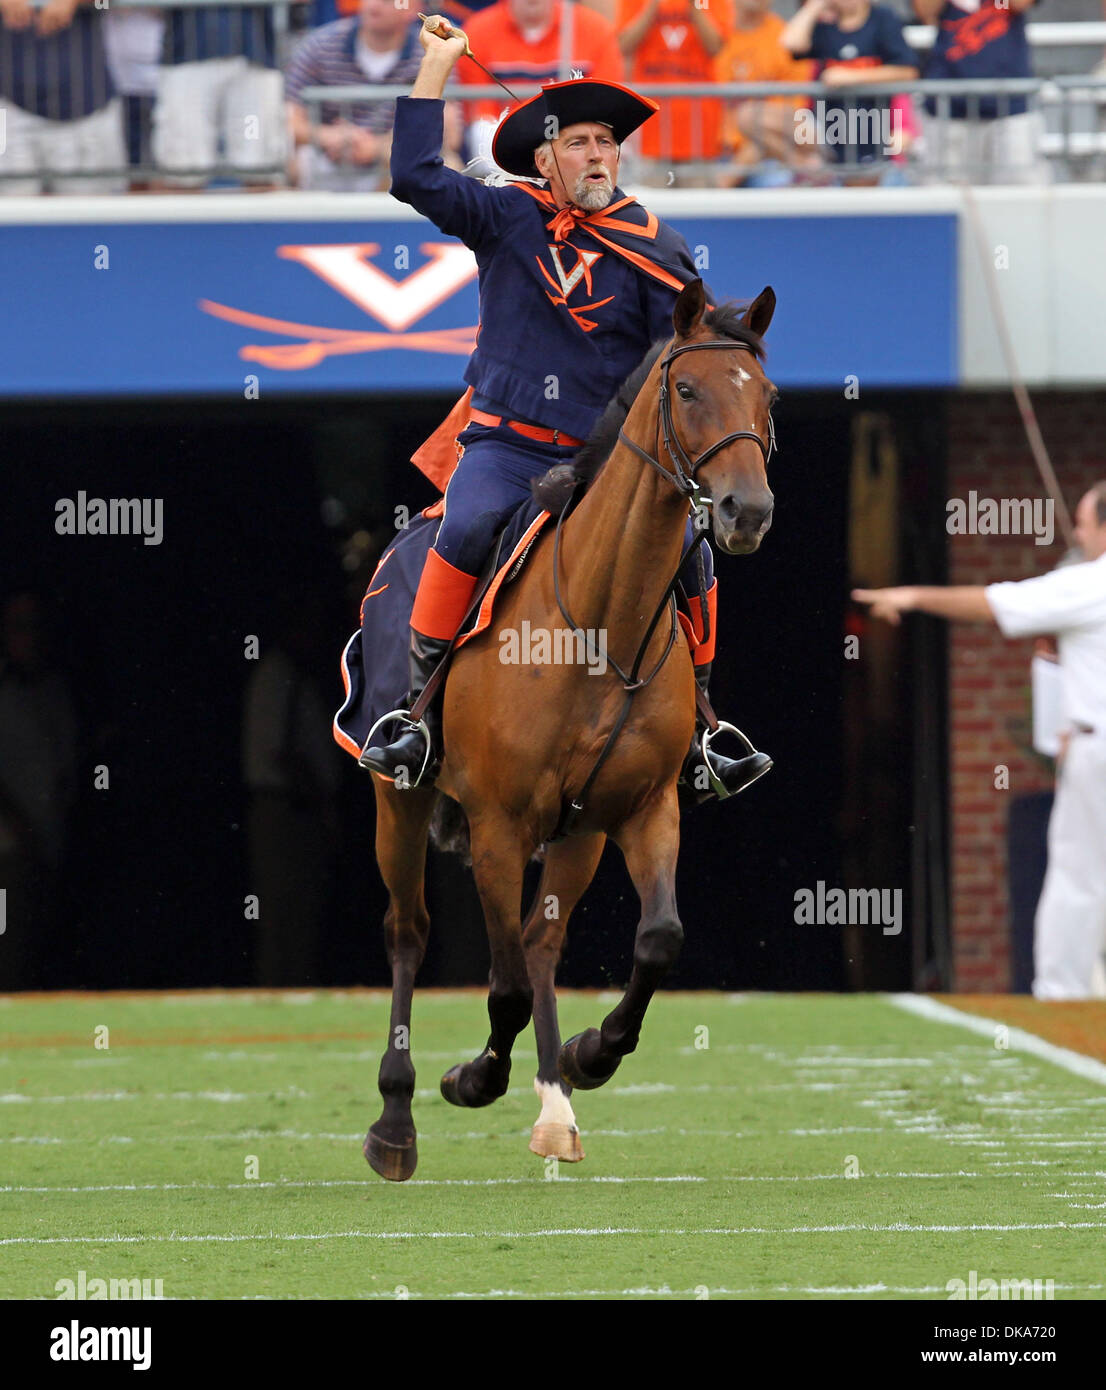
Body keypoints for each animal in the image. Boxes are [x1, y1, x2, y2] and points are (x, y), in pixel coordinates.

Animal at [364, 276, 778, 1178]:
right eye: (686, 389)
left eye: (766, 395)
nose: (747, 510)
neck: (599, 623)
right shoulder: (496, 826)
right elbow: (505, 985)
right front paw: (472, 1080)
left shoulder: (643, 809)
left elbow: (657, 940)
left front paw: (592, 1053)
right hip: (399, 802)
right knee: (409, 933)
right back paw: (397, 1118)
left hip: (579, 832)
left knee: (541, 941)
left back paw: (556, 1104)